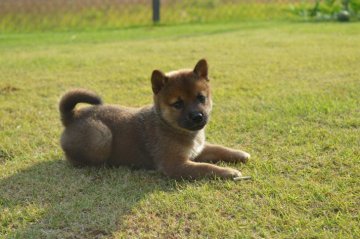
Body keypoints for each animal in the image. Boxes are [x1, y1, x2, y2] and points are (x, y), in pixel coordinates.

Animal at [59, 59, 250, 179]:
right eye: (177, 104)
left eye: (201, 98)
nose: (197, 116)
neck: (169, 126)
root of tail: (72, 116)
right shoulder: (175, 165)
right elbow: (206, 168)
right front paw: (228, 172)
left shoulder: (198, 150)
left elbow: (219, 148)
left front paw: (239, 154)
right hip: (102, 136)